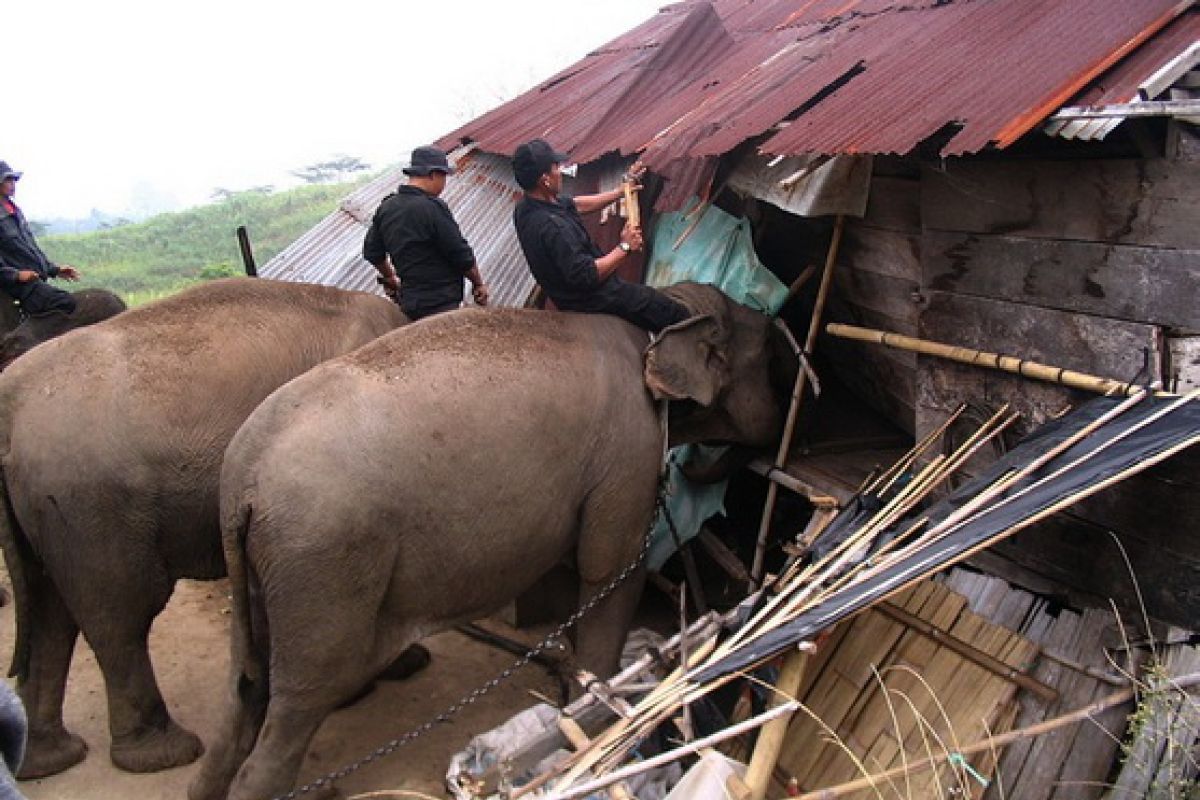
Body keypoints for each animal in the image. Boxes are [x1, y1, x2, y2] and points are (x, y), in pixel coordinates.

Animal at [0, 278, 408, 777]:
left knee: (52, 612)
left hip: (45, 508)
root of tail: (9, 405)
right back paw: (163, 754)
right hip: (89, 504)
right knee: (119, 615)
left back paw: (48, 759)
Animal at [189, 283, 796, 800]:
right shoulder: (630, 452)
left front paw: (570, 687)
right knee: (301, 701)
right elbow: (610, 569)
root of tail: (242, 480)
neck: (665, 308)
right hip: (322, 564)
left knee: (244, 689)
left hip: (266, 571)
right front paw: (595, 715)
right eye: (770, 361)